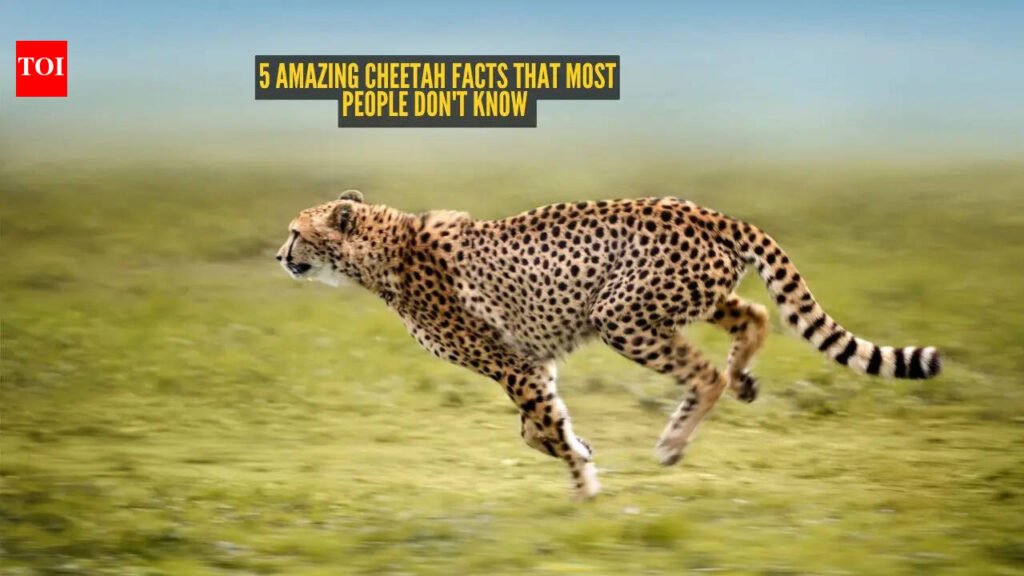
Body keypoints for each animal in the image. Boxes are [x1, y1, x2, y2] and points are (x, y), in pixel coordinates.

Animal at [276, 189, 942, 500]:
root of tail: (702, 211)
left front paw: (584, 488)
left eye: (296, 232)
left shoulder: (513, 366)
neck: (382, 248)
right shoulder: (531, 364)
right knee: (753, 315)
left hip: (622, 315)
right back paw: (744, 380)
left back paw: (675, 441)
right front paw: (582, 451)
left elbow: (540, 426)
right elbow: (537, 429)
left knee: (706, 374)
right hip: (685, 298)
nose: (280, 255)